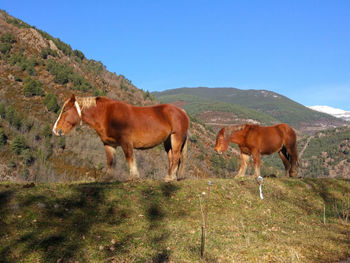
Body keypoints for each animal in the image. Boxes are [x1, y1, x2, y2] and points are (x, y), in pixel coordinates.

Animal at [52, 94, 189, 182]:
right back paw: (171, 176)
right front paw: (108, 178)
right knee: (172, 158)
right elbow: (110, 161)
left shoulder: (126, 142)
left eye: (65, 110)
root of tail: (182, 111)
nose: (55, 130)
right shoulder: (109, 144)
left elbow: (129, 158)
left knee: (176, 156)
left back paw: (170, 178)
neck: (107, 115)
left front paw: (134, 176)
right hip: (168, 141)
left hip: (176, 138)